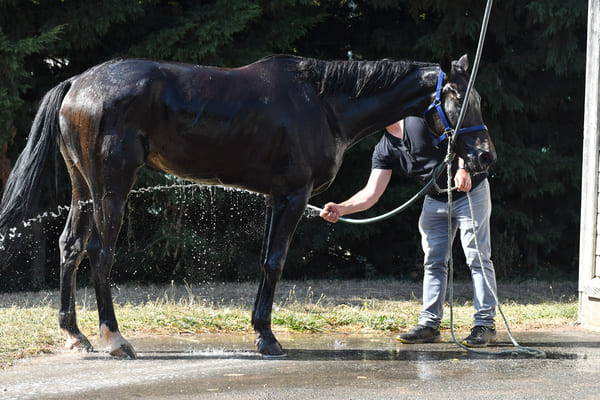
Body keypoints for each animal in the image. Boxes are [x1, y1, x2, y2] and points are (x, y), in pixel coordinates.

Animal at [0, 52, 496, 356]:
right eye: (459, 98)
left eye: (478, 98)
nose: (484, 157)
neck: (322, 102)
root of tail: (77, 82)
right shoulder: (293, 196)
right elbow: (274, 262)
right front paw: (268, 338)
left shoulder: (277, 198)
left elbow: (264, 261)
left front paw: (260, 332)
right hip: (111, 187)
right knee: (100, 253)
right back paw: (115, 339)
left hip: (83, 187)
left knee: (69, 248)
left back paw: (75, 335)